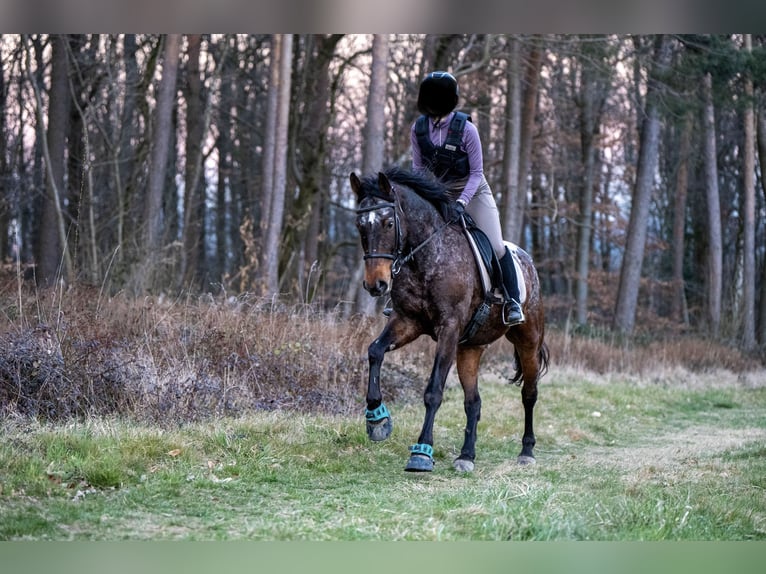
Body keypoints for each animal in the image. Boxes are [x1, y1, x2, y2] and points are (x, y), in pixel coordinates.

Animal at [350, 167, 549, 472]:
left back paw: (526, 451)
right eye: (360, 225)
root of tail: (528, 261)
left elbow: (433, 391)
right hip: (469, 348)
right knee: (473, 402)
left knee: (529, 393)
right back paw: (466, 455)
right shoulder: (407, 321)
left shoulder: (449, 327)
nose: (376, 285)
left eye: (388, 223)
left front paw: (421, 452)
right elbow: (374, 351)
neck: (426, 256)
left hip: (528, 339)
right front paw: (377, 420)